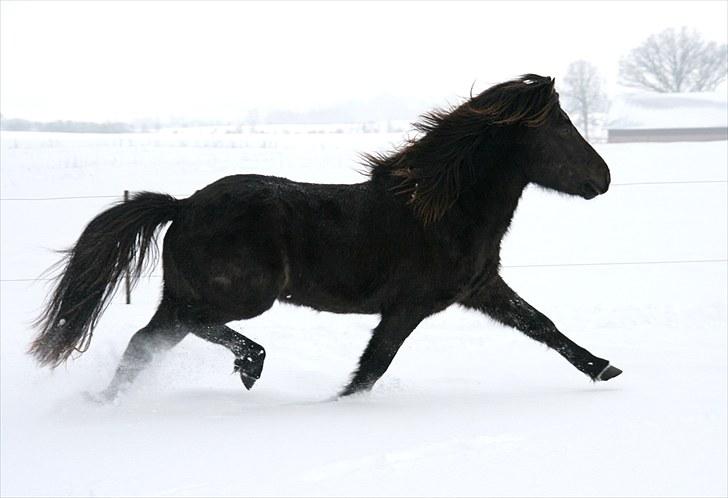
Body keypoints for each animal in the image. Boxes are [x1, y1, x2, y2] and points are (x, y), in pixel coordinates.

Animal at [31, 75, 624, 400]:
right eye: (562, 126)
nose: (603, 179)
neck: (440, 211)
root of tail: (184, 206)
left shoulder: (481, 290)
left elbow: (543, 325)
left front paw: (605, 368)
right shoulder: (408, 307)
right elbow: (373, 367)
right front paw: (337, 410)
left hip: (182, 296)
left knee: (143, 345)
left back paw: (105, 403)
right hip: (240, 297)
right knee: (187, 330)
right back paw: (250, 366)